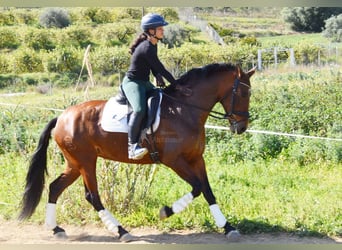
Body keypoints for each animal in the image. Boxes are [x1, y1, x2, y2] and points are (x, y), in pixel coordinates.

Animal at [18, 62, 254, 242]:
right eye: (243, 93)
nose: (241, 127)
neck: (184, 110)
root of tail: (62, 117)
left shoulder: (196, 159)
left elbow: (207, 191)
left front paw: (228, 227)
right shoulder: (174, 160)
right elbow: (196, 187)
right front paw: (166, 211)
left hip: (75, 163)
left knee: (55, 187)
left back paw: (56, 229)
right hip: (86, 162)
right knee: (92, 196)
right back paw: (121, 231)